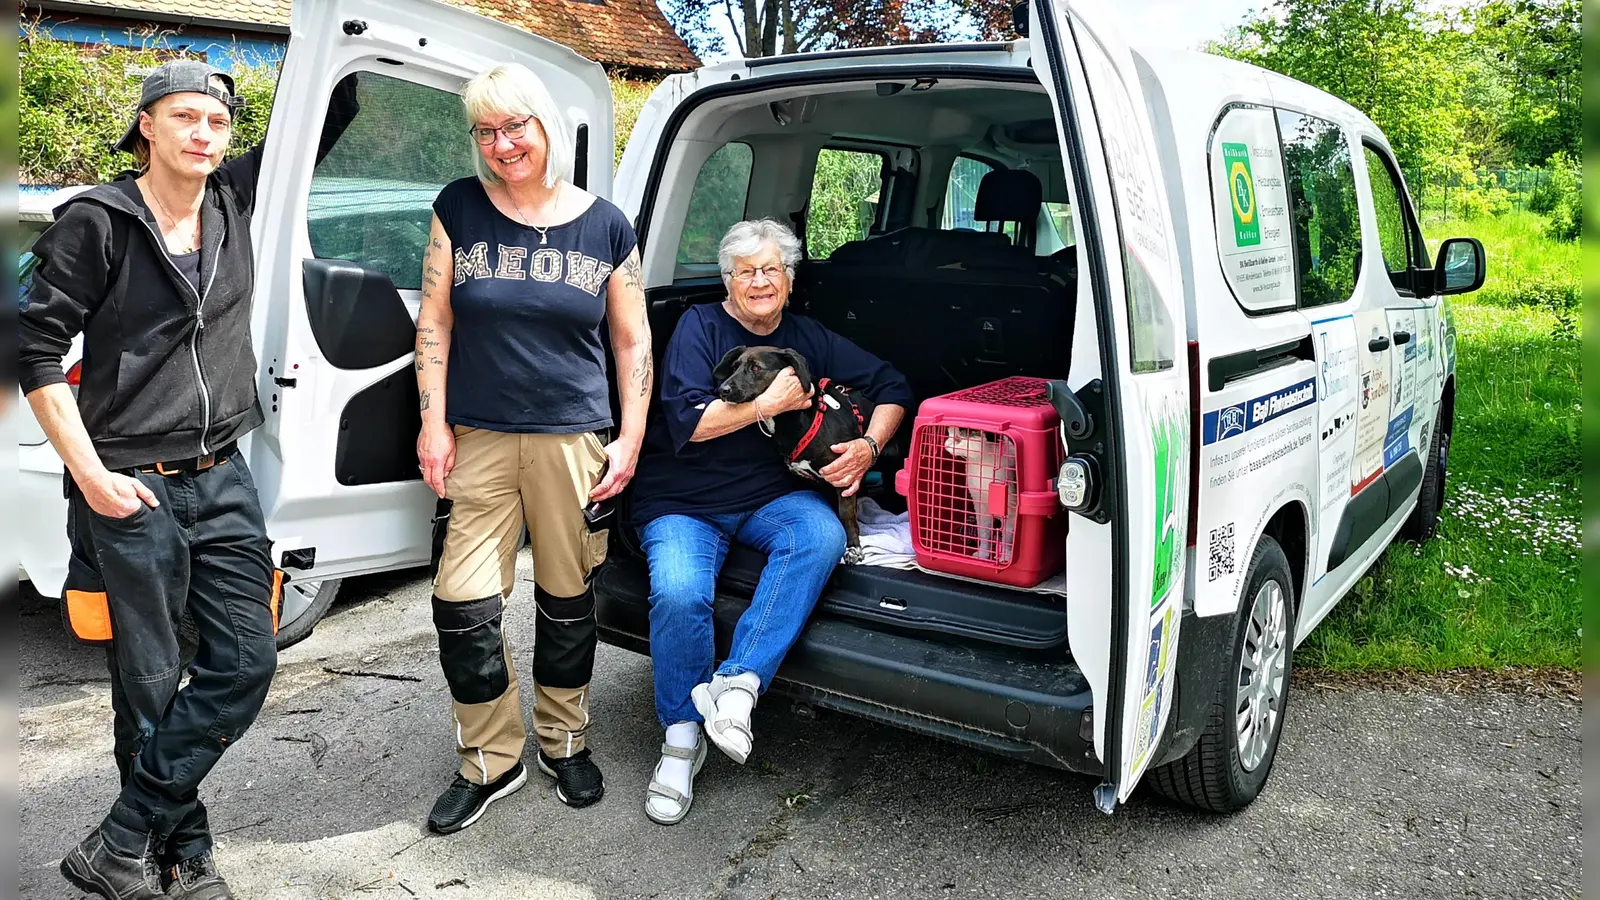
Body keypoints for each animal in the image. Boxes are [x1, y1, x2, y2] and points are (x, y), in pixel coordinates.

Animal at [716, 342, 876, 560]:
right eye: (733, 367)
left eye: (756, 368)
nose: (722, 390)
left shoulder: (844, 474)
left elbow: (846, 513)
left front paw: (853, 547)